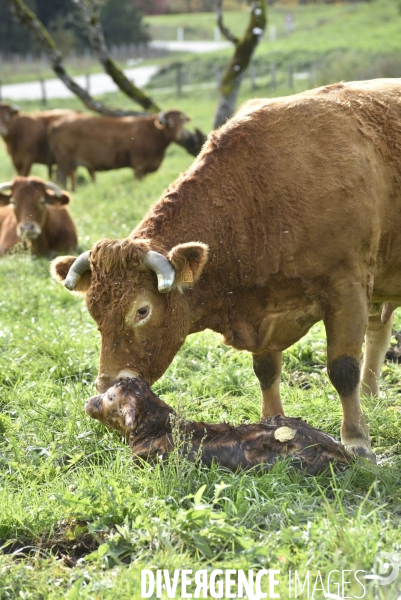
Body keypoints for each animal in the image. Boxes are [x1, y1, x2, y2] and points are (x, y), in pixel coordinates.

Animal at [48, 109, 189, 190]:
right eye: (170, 123)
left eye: (182, 122)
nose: (183, 135)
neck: (151, 131)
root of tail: (56, 125)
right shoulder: (139, 165)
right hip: (64, 162)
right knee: (60, 177)